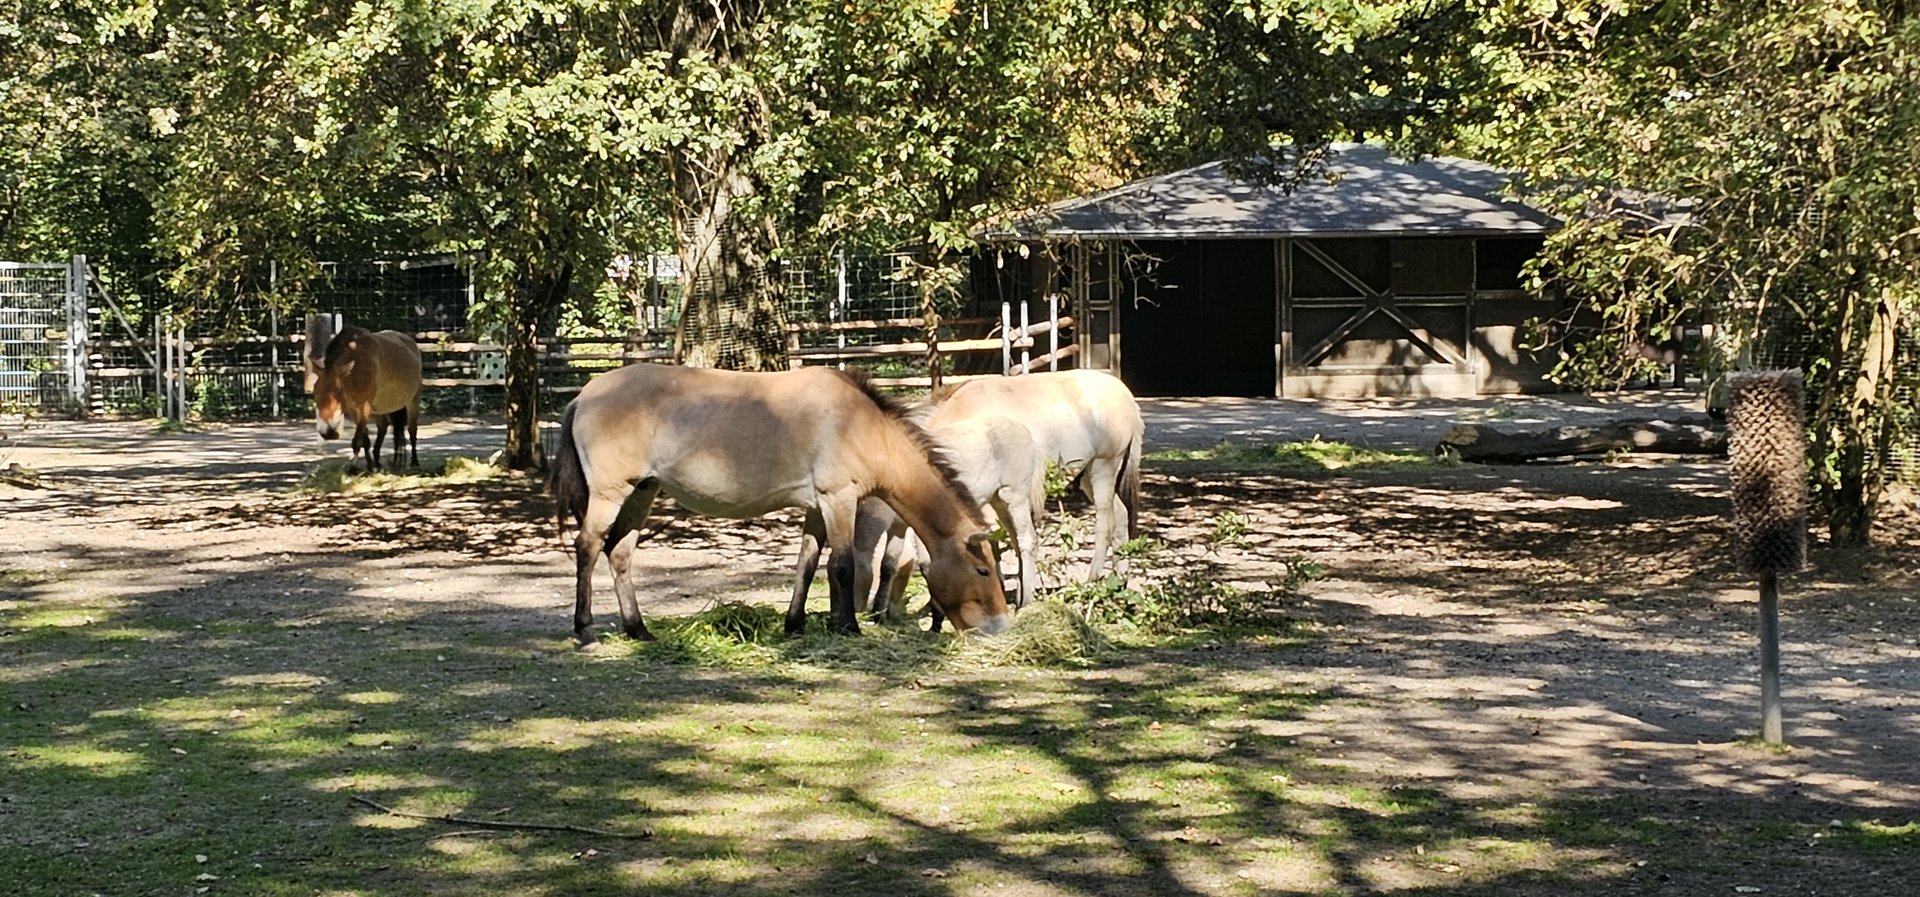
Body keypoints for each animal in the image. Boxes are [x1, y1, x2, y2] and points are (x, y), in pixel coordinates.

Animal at [303, 315, 423, 471]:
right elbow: (364, 439)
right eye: (315, 393)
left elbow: (357, 440)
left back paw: (414, 461)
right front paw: (371, 465)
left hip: (413, 402)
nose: (328, 433)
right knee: (383, 427)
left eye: (339, 393)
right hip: (380, 409)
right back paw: (377, 460)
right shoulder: (353, 409)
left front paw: (354, 469)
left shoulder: (364, 406)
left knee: (412, 430)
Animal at [548, 363, 1011, 647]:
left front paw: (795, 624)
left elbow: (808, 563)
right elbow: (841, 565)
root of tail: (584, 396)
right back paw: (585, 631)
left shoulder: (817, 508)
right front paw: (848, 627)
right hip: (611, 493)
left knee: (619, 552)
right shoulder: (838, 499)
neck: (863, 427)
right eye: (982, 571)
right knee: (588, 548)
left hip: (642, 491)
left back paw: (638, 630)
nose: (999, 626)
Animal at [929, 370, 1143, 580]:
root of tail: (1126, 394)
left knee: (1105, 523)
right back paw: (1119, 579)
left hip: (1103, 467)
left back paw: (1093, 579)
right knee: (1121, 515)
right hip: (1088, 476)